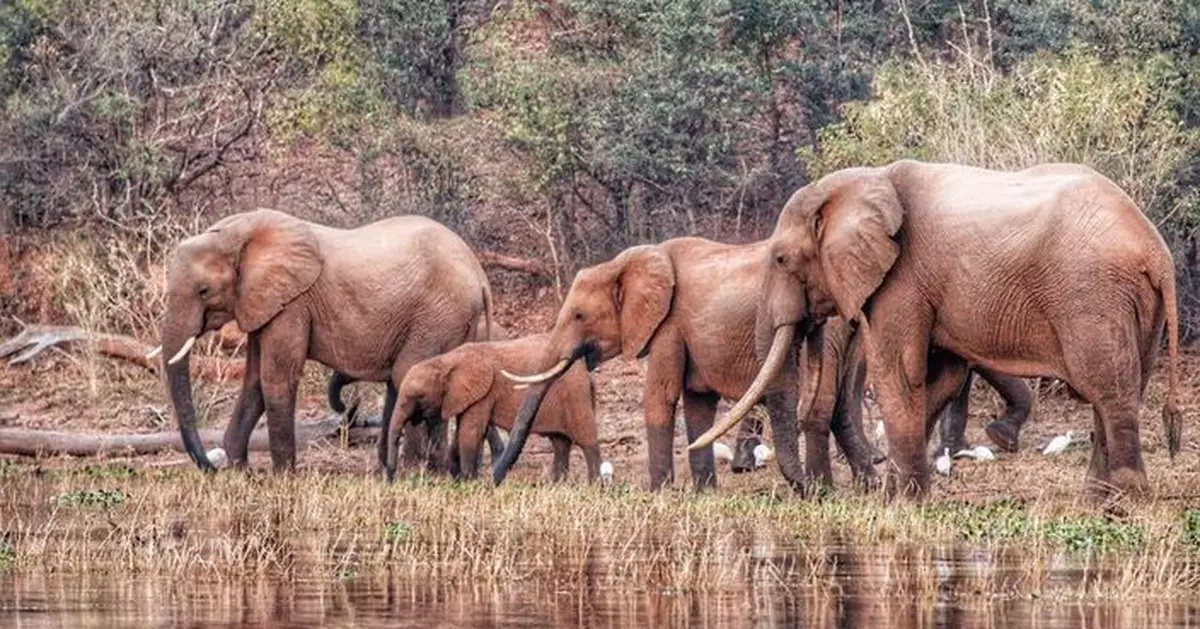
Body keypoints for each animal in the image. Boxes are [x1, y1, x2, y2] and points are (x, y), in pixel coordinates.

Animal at [153, 208, 492, 475]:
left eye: (203, 291)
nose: (209, 467)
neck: (239, 232)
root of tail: (480, 276)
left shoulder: (293, 305)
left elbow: (276, 377)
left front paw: (283, 477)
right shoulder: (263, 303)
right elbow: (254, 380)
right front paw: (240, 471)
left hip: (438, 314)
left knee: (408, 376)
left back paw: (410, 473)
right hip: (454, 320)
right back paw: (430, 472)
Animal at [384, 333, 600, 482]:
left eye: (418, 397)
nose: (392, 480)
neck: (447, 361)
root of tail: (586, 373)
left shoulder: (485, 392)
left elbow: (470, 432)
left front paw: (467, 481)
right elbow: (462, 432)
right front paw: (459, 479)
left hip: (575, 395)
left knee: (586, 440)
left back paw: (594, 486)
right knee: (560, 443)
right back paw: (556, 485)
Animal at [487, 235, 883, 492]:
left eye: (579, 316)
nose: (493, 480)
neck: (627, 262)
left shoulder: (669, 326)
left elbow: (660, 397)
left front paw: (659, 491)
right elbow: (697, 404)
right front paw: (704, 490)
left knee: (821, 405)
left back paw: (821, 488)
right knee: (840, 404)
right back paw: (867, 483)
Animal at [696, 159, 1180, 499]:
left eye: (780, 259)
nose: (809, 494)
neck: (865, 181)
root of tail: (1157, 251)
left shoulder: (903, 278)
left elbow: (900, 372)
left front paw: (904, 502)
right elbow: (939, 378)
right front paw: (896, 496)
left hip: (1092, 295)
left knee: (1107, 384)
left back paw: (1123, 500)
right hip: (1134, 305)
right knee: (1122, 384)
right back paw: (1096, 498)